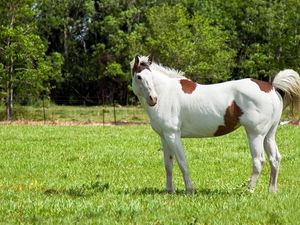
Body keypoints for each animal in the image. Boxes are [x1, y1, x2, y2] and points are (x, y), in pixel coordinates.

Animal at [131, 55, 300, 193]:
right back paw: (271, 190)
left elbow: (182, 162)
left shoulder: (173, 135)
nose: (153, 99)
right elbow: (168, 165)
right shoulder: (164, 137)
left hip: (255, 134)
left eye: (150, 76)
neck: (166, 93)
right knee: (275, 159)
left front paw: (189, 190)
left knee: (259, 161)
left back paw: (248, 191)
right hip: (269, 135)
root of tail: (272, 88)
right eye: (139, 76)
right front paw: (169, 191)